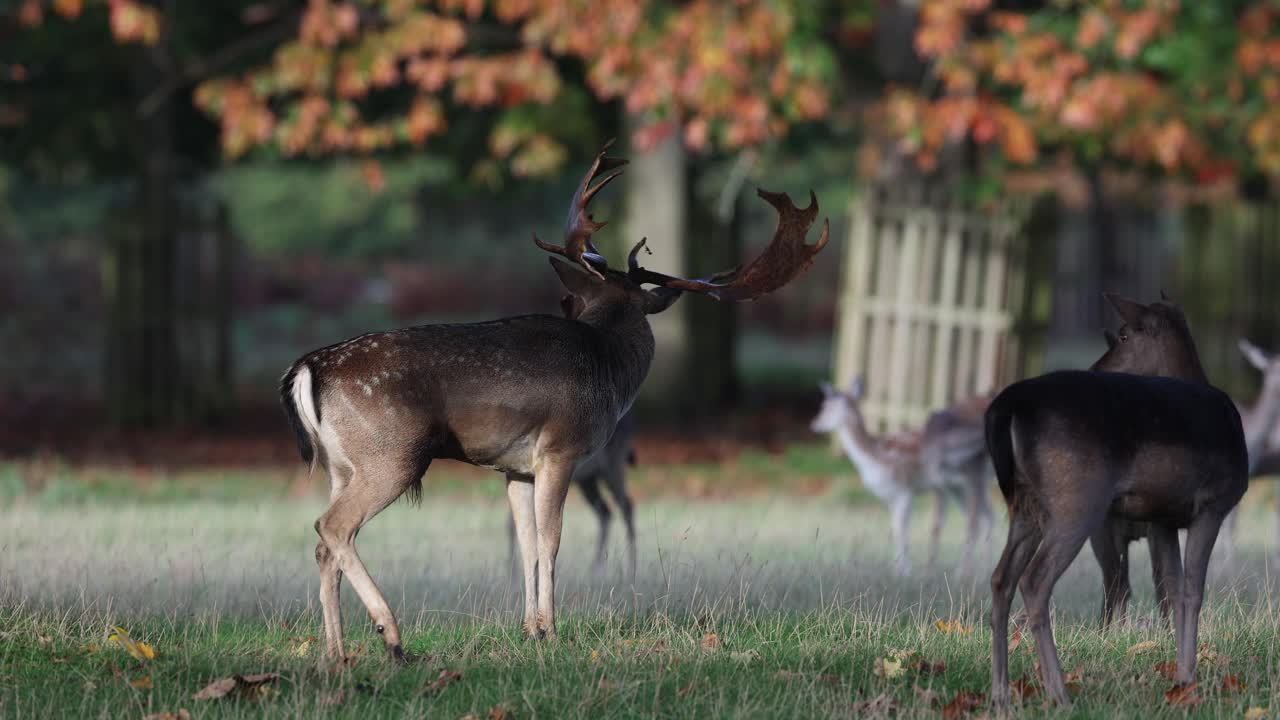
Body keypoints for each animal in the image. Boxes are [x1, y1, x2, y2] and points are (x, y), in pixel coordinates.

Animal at [277, 142, 829, 661]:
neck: (609, 366)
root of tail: (307, 369)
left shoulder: (515, 468)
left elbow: (525, 543)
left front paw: (527, 629)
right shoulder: (561, 447)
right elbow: (551, 539)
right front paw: (550, 630)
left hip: (341, 465)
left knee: (324, 544)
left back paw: (335, 651)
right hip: (391, 453)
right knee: (333, 527)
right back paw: (389, 635)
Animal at [814, 379, 993, 573]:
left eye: (827, 407)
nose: (814, 424)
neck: (875, 456)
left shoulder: (904, 489)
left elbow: (901, 528)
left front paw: (905, 570)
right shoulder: (891, 496)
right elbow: (894, 527)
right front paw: (899, 567)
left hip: (972, 477)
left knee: (976, 520)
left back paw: (966, 570)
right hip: (958, 486)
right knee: (985, 517)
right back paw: (982, 568)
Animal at [983, 289, 1244, 702]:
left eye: (1123, 336)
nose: (1096, 367)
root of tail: (1006, 407)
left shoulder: (1162, 518)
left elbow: (1171, 590)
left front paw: (1180, 678)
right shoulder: (1212, 502)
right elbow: (1192, 591)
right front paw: (1190, 681)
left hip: (1026, 505)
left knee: (1000, 578)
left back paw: (1000, 693)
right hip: (1077, 501)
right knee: (1035, 581)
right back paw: (1059, 693)